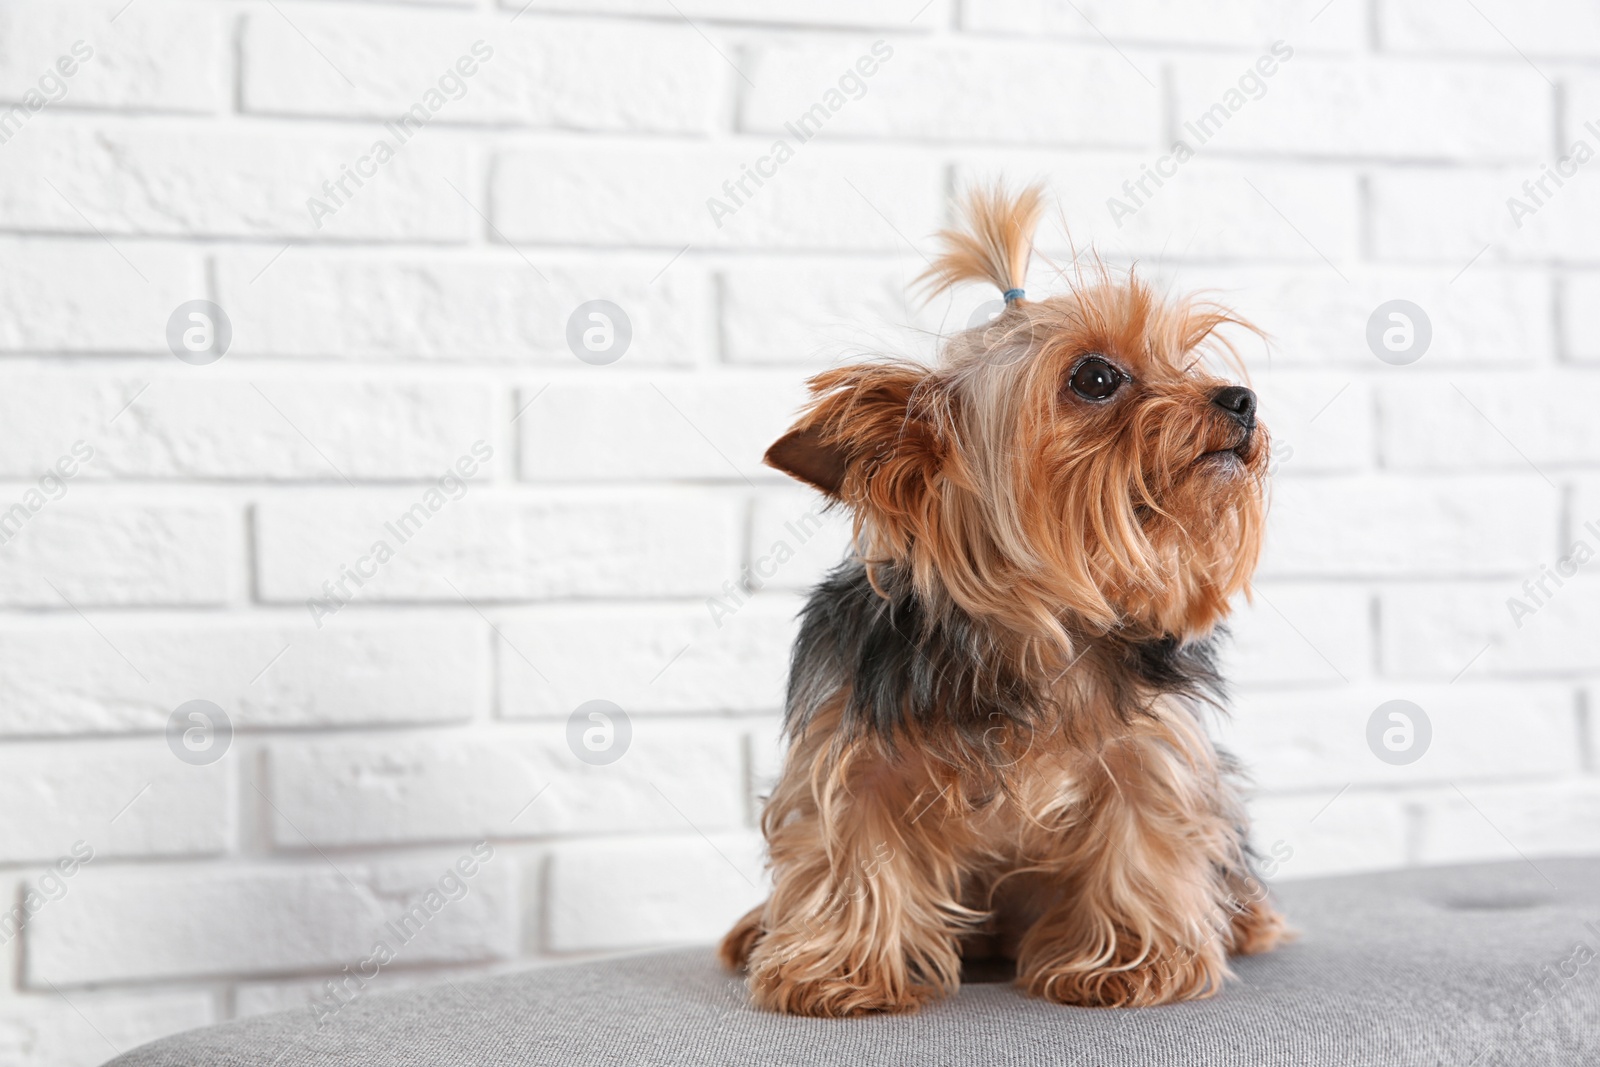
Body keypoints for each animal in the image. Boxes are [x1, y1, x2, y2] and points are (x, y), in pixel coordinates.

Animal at [723, 185, 1286, 1017]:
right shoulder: (851, 744)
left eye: (1185, 360)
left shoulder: (1150, 748)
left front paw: (1130, 962)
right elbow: (849, 843)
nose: (1240, 398)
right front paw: (840, 969)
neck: (1034, 631)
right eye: (1095, 377)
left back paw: (1248, 919)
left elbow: (1143, 837)